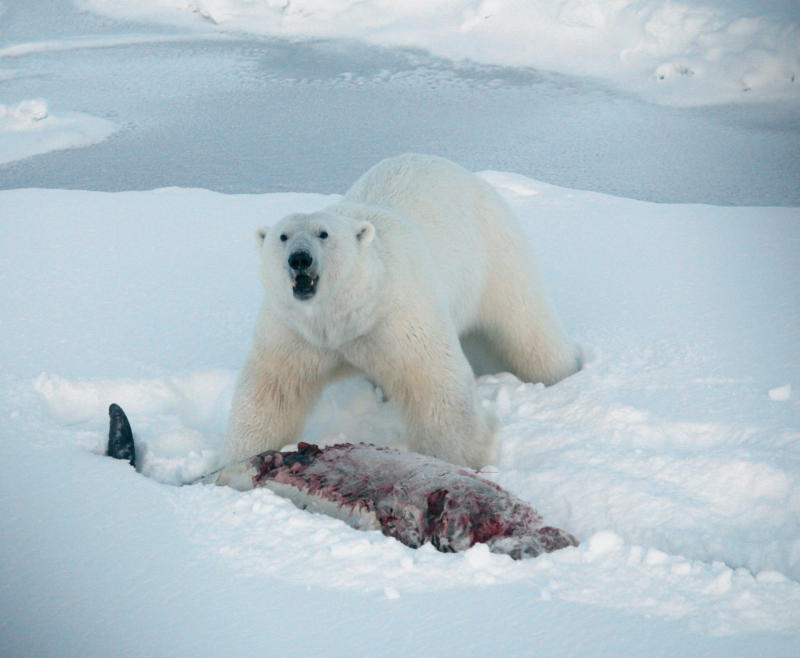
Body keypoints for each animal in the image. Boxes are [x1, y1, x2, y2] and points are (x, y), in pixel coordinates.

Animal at [227, 155, 580, 466]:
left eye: (323, 234)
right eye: (282, 236)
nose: (299, 258)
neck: (346, 315)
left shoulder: (397, 316)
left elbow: (434, 382)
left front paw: (468, 456)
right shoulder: (295, 329)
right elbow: (273, 390)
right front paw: (238, 459)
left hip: (497, 252)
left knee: (527, 327)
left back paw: (564, 372)